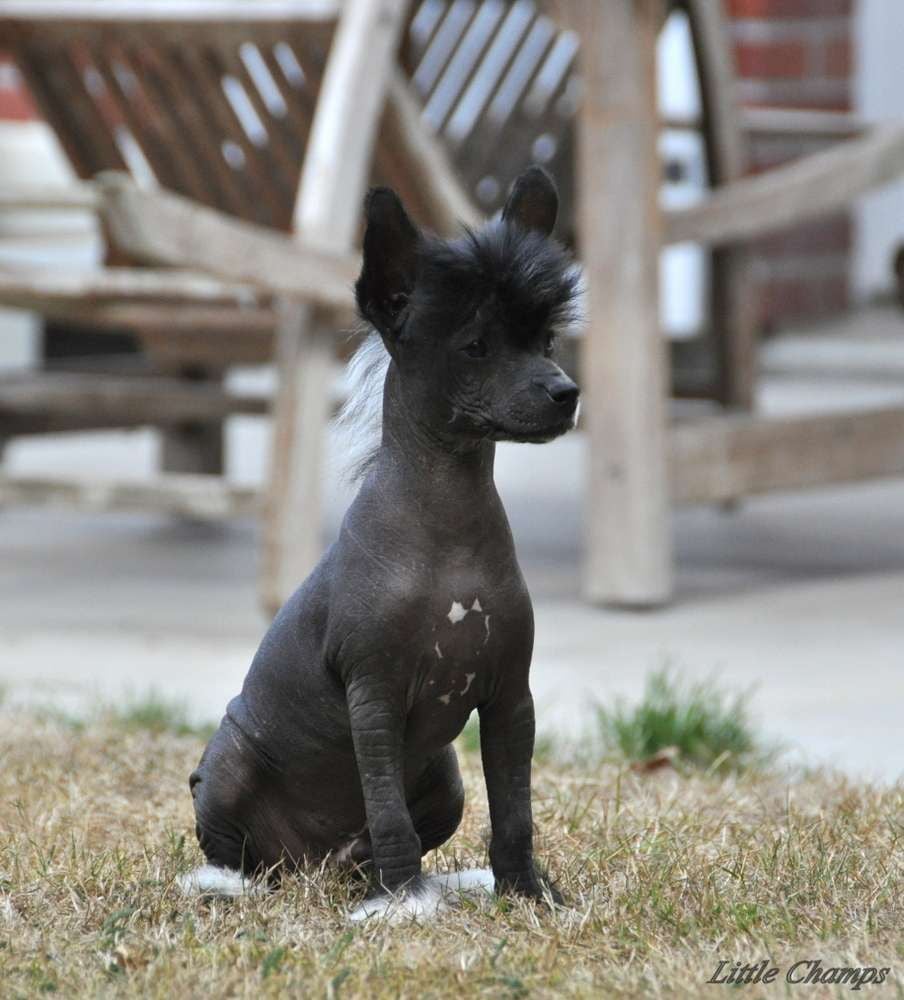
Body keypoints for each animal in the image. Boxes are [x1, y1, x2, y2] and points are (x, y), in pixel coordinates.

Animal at [183, 166, 580, 920]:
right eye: (476, 345)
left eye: (545, 341)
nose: (565, 392)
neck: (448, 528)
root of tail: (313, 862)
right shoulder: (374, 701)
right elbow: (390, 811)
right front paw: (401, 903)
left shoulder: (511, 698)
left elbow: (515, 811)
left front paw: (525, 893)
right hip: (229, 760)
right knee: (240, 852)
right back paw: (243, 882)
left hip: (446, 777)